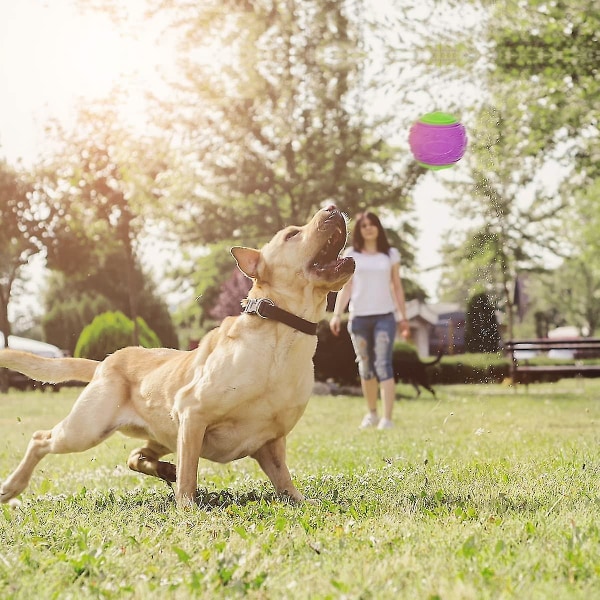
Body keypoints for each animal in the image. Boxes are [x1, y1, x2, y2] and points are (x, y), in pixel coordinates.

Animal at [0, 206, 354, 506]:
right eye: (292, 234)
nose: (333, 208)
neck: (281, 336)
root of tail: (106, 361)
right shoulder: (192, 412)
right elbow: (189, 473)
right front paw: (187, 508)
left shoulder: (271, 442)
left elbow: (284, 481)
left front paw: (303, 501)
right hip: (87, 429)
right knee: (40, 439)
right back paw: (11, 487)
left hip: (161, 431)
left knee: (135, 455)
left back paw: (161, 469)